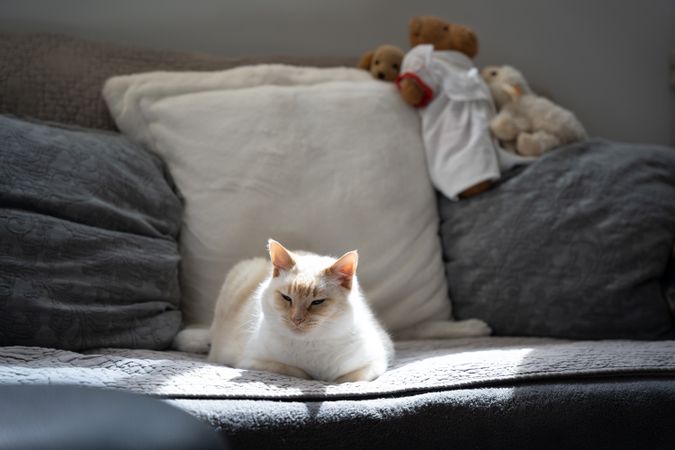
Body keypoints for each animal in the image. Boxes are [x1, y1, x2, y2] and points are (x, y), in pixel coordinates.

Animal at [176, 239, 396, 384]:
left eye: (317, 302)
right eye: (287, 298)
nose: (296, 319)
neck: (311, 346)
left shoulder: (376, 361)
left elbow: (345, 379)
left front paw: (327, 380)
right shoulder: (253, 361)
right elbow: (297, 372)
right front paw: (313, 378)